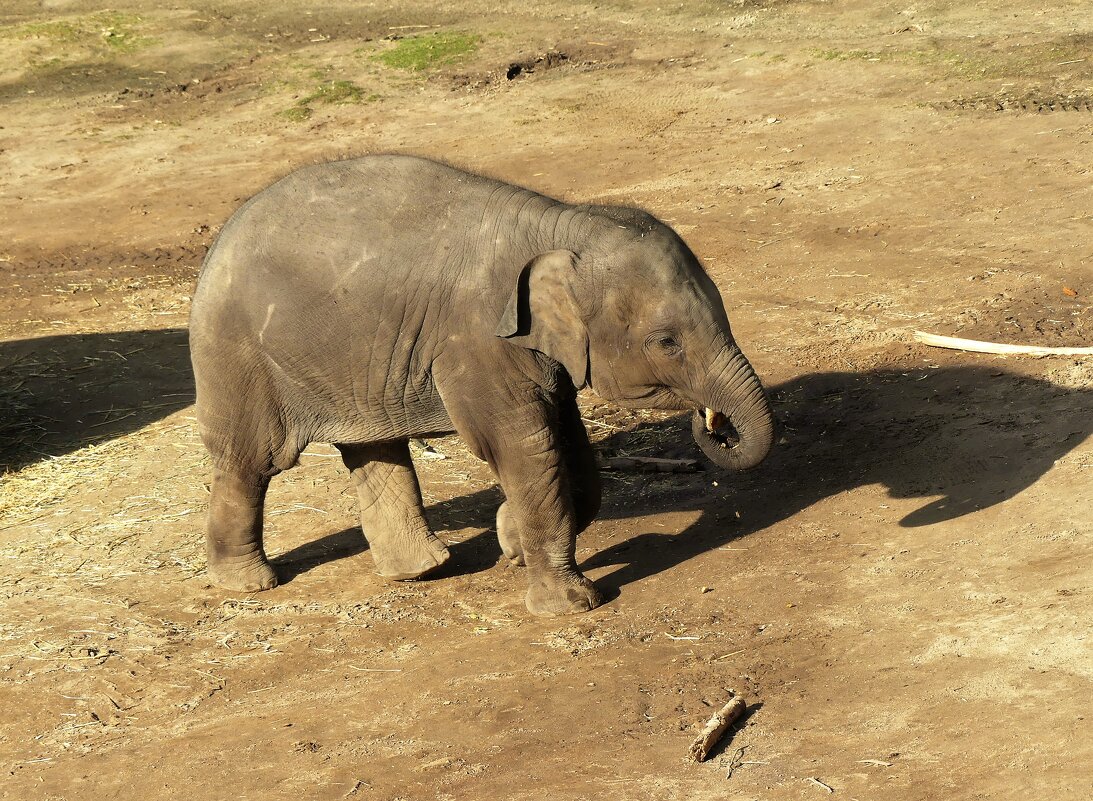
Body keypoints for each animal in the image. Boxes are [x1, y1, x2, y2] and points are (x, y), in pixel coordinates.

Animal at [194, 152, 778, 611]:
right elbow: (523, 443)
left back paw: (421, 570)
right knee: (253, 459)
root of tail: (216, 246)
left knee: (373, 447)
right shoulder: (476, 340)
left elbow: (569, 442)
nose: (713, 424)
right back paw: (249, 584)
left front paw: (509, 539)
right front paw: (571, 604)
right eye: (667, 343)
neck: (560, 224)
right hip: (238, 355)